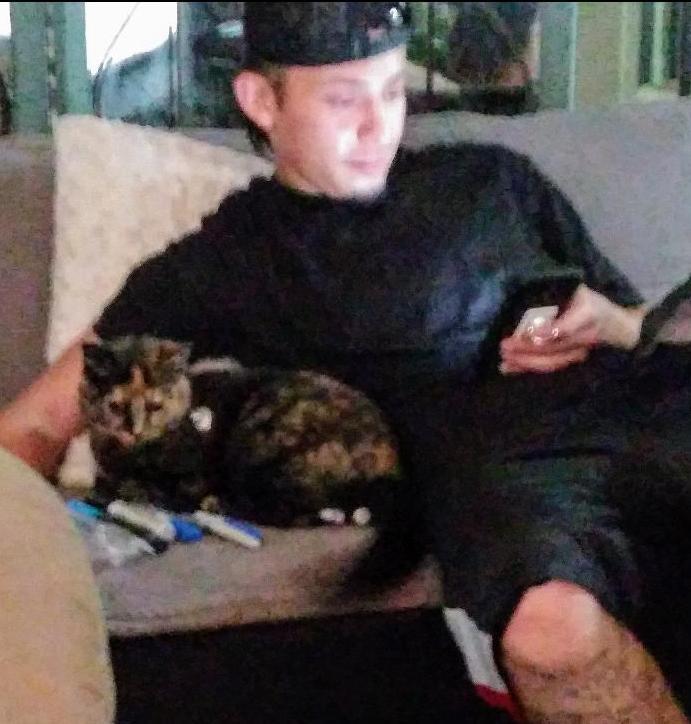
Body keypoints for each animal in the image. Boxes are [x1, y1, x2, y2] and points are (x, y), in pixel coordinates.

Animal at [79, 335, 404, 530]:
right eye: (116, 406)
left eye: (154, 406)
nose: (133, 430)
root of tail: (391, 460)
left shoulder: (191, 479)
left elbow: (139, 486)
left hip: (264, 443)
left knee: (294, 513)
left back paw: (218, 505)